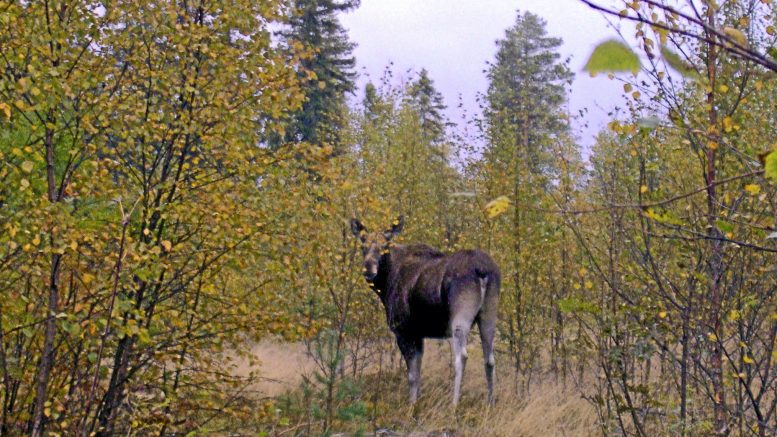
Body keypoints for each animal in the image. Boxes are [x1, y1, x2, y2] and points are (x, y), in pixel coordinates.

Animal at [350, 216, 500, 404]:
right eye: (362, 245)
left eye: (384, 247)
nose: (368, 268)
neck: (384, 286)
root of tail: (483, 271)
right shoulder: (419, 334)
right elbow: (418, 372)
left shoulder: (404, 331)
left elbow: (412, 376)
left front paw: (412, 404)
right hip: (489, 314)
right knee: (490, 359)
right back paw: (490, 403)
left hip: (460, 315)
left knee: (462, 356)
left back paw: (454, 404)